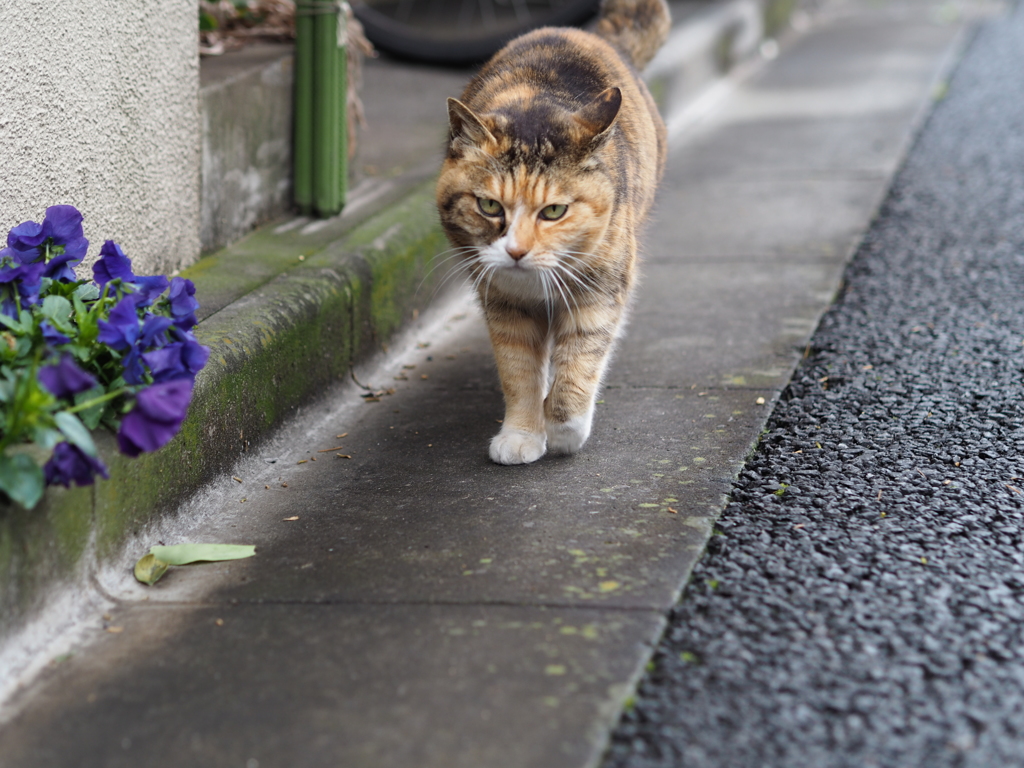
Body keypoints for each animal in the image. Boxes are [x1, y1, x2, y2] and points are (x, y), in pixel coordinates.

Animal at [434, 0, 667, 466]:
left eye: (554, 211)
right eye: (490, 206)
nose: (516, 251)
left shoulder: (599, 289)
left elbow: (579, 360)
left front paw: (563, 430)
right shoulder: (504, 302)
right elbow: (519, 370)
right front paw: (523, 434)